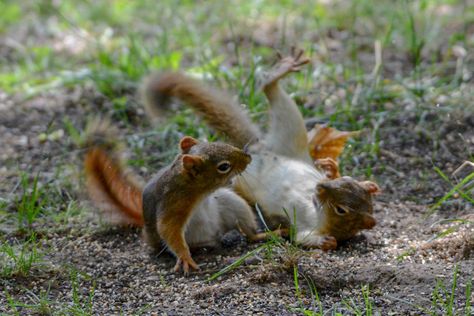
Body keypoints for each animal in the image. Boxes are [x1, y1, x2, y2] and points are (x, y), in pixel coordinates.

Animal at [143, 48, 380, 249]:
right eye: (346, 181)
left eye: (341, 210)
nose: (320, 186)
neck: (315, 207)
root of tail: (256, 150)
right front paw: (330, 169)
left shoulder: (306, 230)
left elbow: (305, 239)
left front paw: (326, 242)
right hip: (290, 133)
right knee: (272, 92)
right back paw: (279, 72)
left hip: (245, 176)